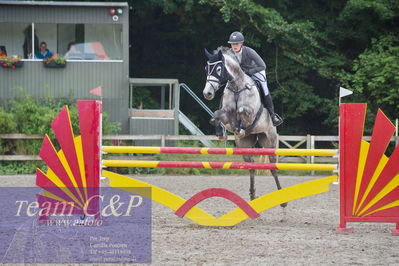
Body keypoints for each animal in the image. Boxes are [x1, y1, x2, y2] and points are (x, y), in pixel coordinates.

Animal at [205, 46, 286, 205]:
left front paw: (239, 128)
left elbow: (242, 111)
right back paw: (253, 195)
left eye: (218, 69)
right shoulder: (226, 114)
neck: (237, 86)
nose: (207, 93)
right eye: (207, 68)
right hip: (245, 145)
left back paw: (282, 199)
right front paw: (220, 133)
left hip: (269, 141)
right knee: (251, 167)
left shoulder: (250, 113)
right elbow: (217, 114)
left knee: (273, 168)